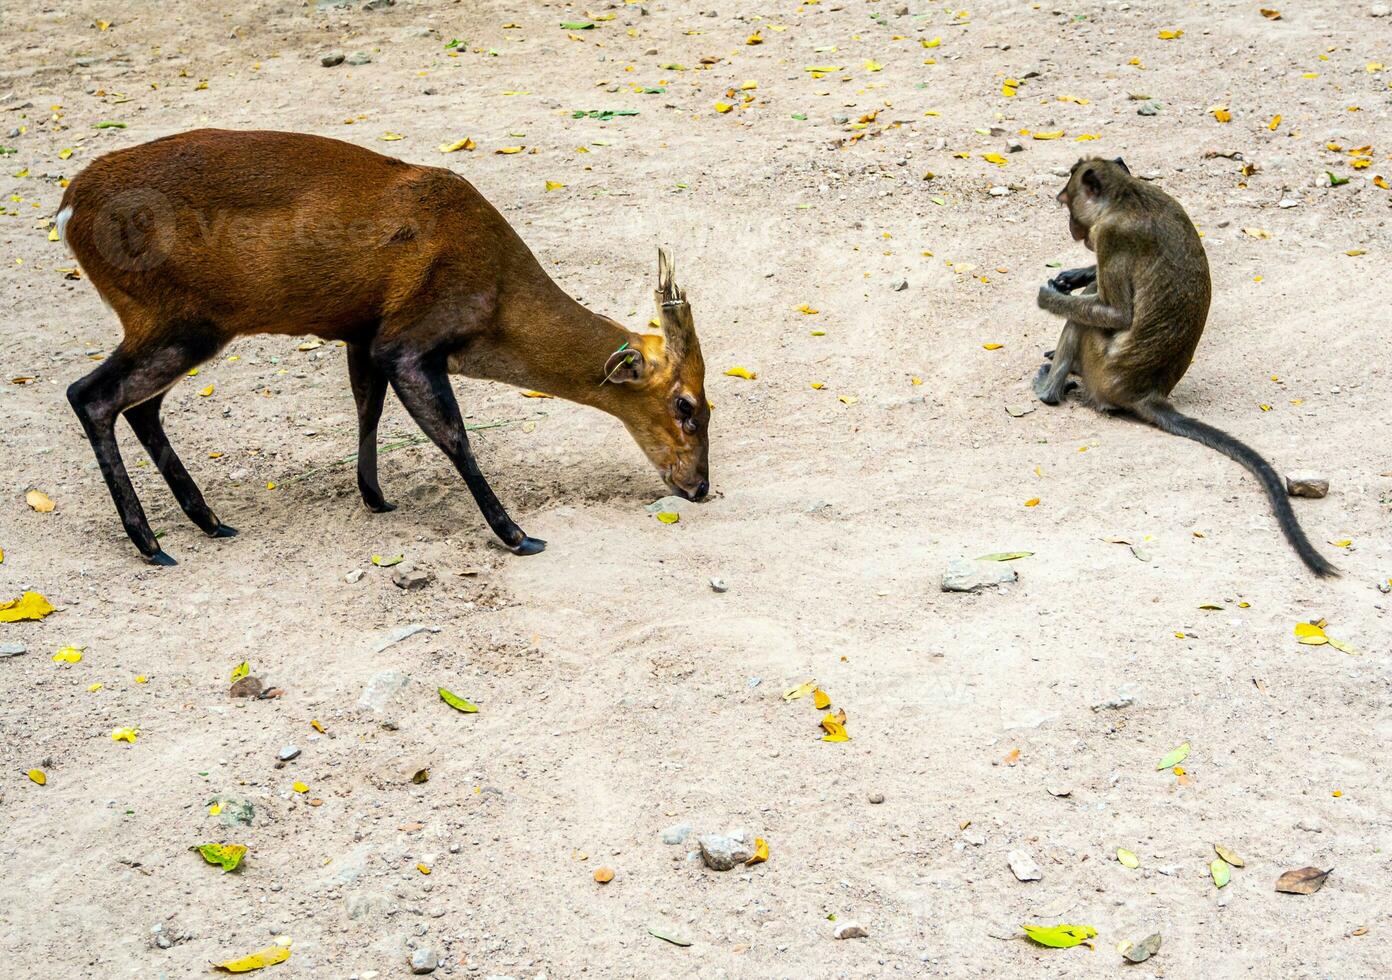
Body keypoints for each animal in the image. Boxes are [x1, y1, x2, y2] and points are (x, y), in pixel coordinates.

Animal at [59, 126, 712, 562]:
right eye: (686, 405)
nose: (700, 488)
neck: (497, 298)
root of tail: (69, 208)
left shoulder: (364, 333)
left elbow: (366, 407)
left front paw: (375, 498)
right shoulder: (410, 337)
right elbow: (454, 436)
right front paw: (518, 534)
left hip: (175, 325)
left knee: (139, 406)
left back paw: (208, 521)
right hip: (179, 317)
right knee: (91, 394)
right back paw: (151, 543)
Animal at [1035, 157, 1336, 579]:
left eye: (1066, 204)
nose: (1072, 229)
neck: (1127, 195)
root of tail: (1146, 392)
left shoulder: (1112, 236)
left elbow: (1116, 313)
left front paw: (1049, 296)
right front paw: (1074, 274)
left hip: (1102, 367)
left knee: (1088, 317)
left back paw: (1049, 390)